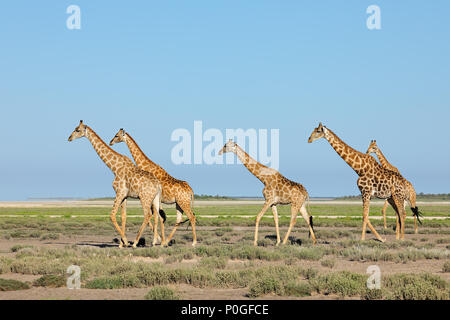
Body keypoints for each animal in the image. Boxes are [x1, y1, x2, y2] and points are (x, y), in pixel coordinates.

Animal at [68, 120, 163, 248]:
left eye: (77, 130)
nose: (69, 138)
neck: (114, 168)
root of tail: (158, 185)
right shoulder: (125, 196)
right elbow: (123, 216)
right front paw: (121, 244)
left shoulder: (119, 192)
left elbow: (112, 215)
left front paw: (126, 242)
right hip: (155, 198)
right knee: (157, 216)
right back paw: (155, 242)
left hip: (145, 198)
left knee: (147, 215)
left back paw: (136, 243)